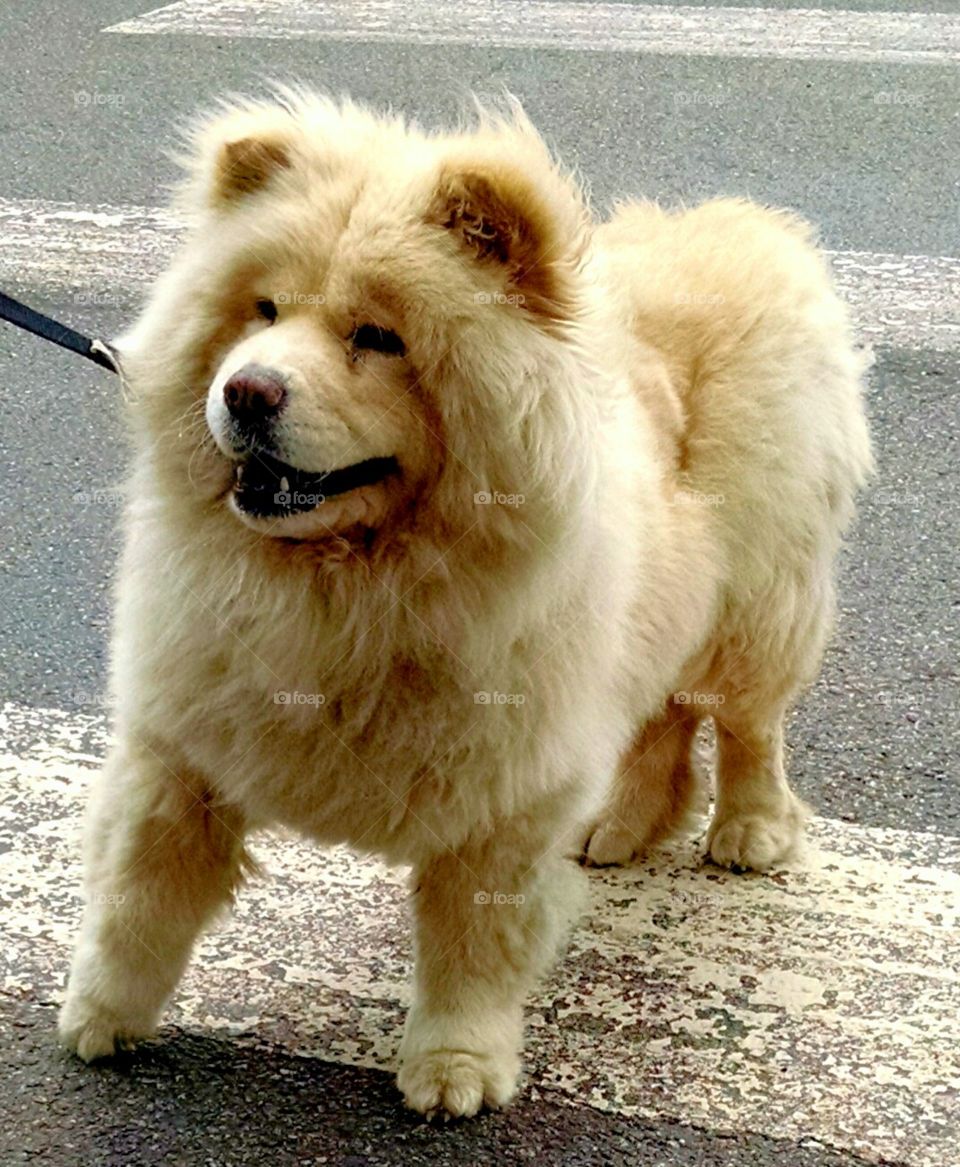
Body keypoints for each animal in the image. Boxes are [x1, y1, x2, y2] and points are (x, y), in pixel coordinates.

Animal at [56, 93, 872, 1120]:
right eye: (263, 311)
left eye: (377, 337)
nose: (245, 388)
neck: (347, 586)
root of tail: (746, 227)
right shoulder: (182, 746)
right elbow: (138, 900)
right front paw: (98, 1019)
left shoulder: (503, 793)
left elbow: (470, 948)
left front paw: (454, 1070)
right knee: (661, 723)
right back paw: (619, 826)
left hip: (756, 602)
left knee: (747, 724)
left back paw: (748, 830)